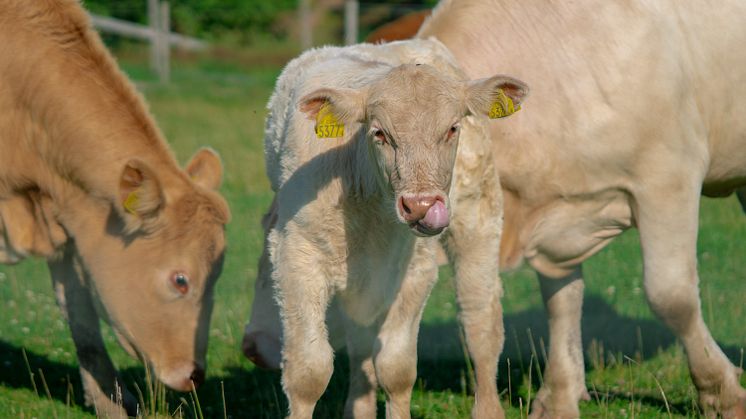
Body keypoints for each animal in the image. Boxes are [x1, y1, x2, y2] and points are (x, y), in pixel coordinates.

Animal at [418, 0, 744, 418]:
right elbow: (562, 301)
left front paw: (721, 392)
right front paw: (559, 395)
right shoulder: (556, 213)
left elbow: (671, 296)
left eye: (450, 129)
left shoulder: (668, 175)